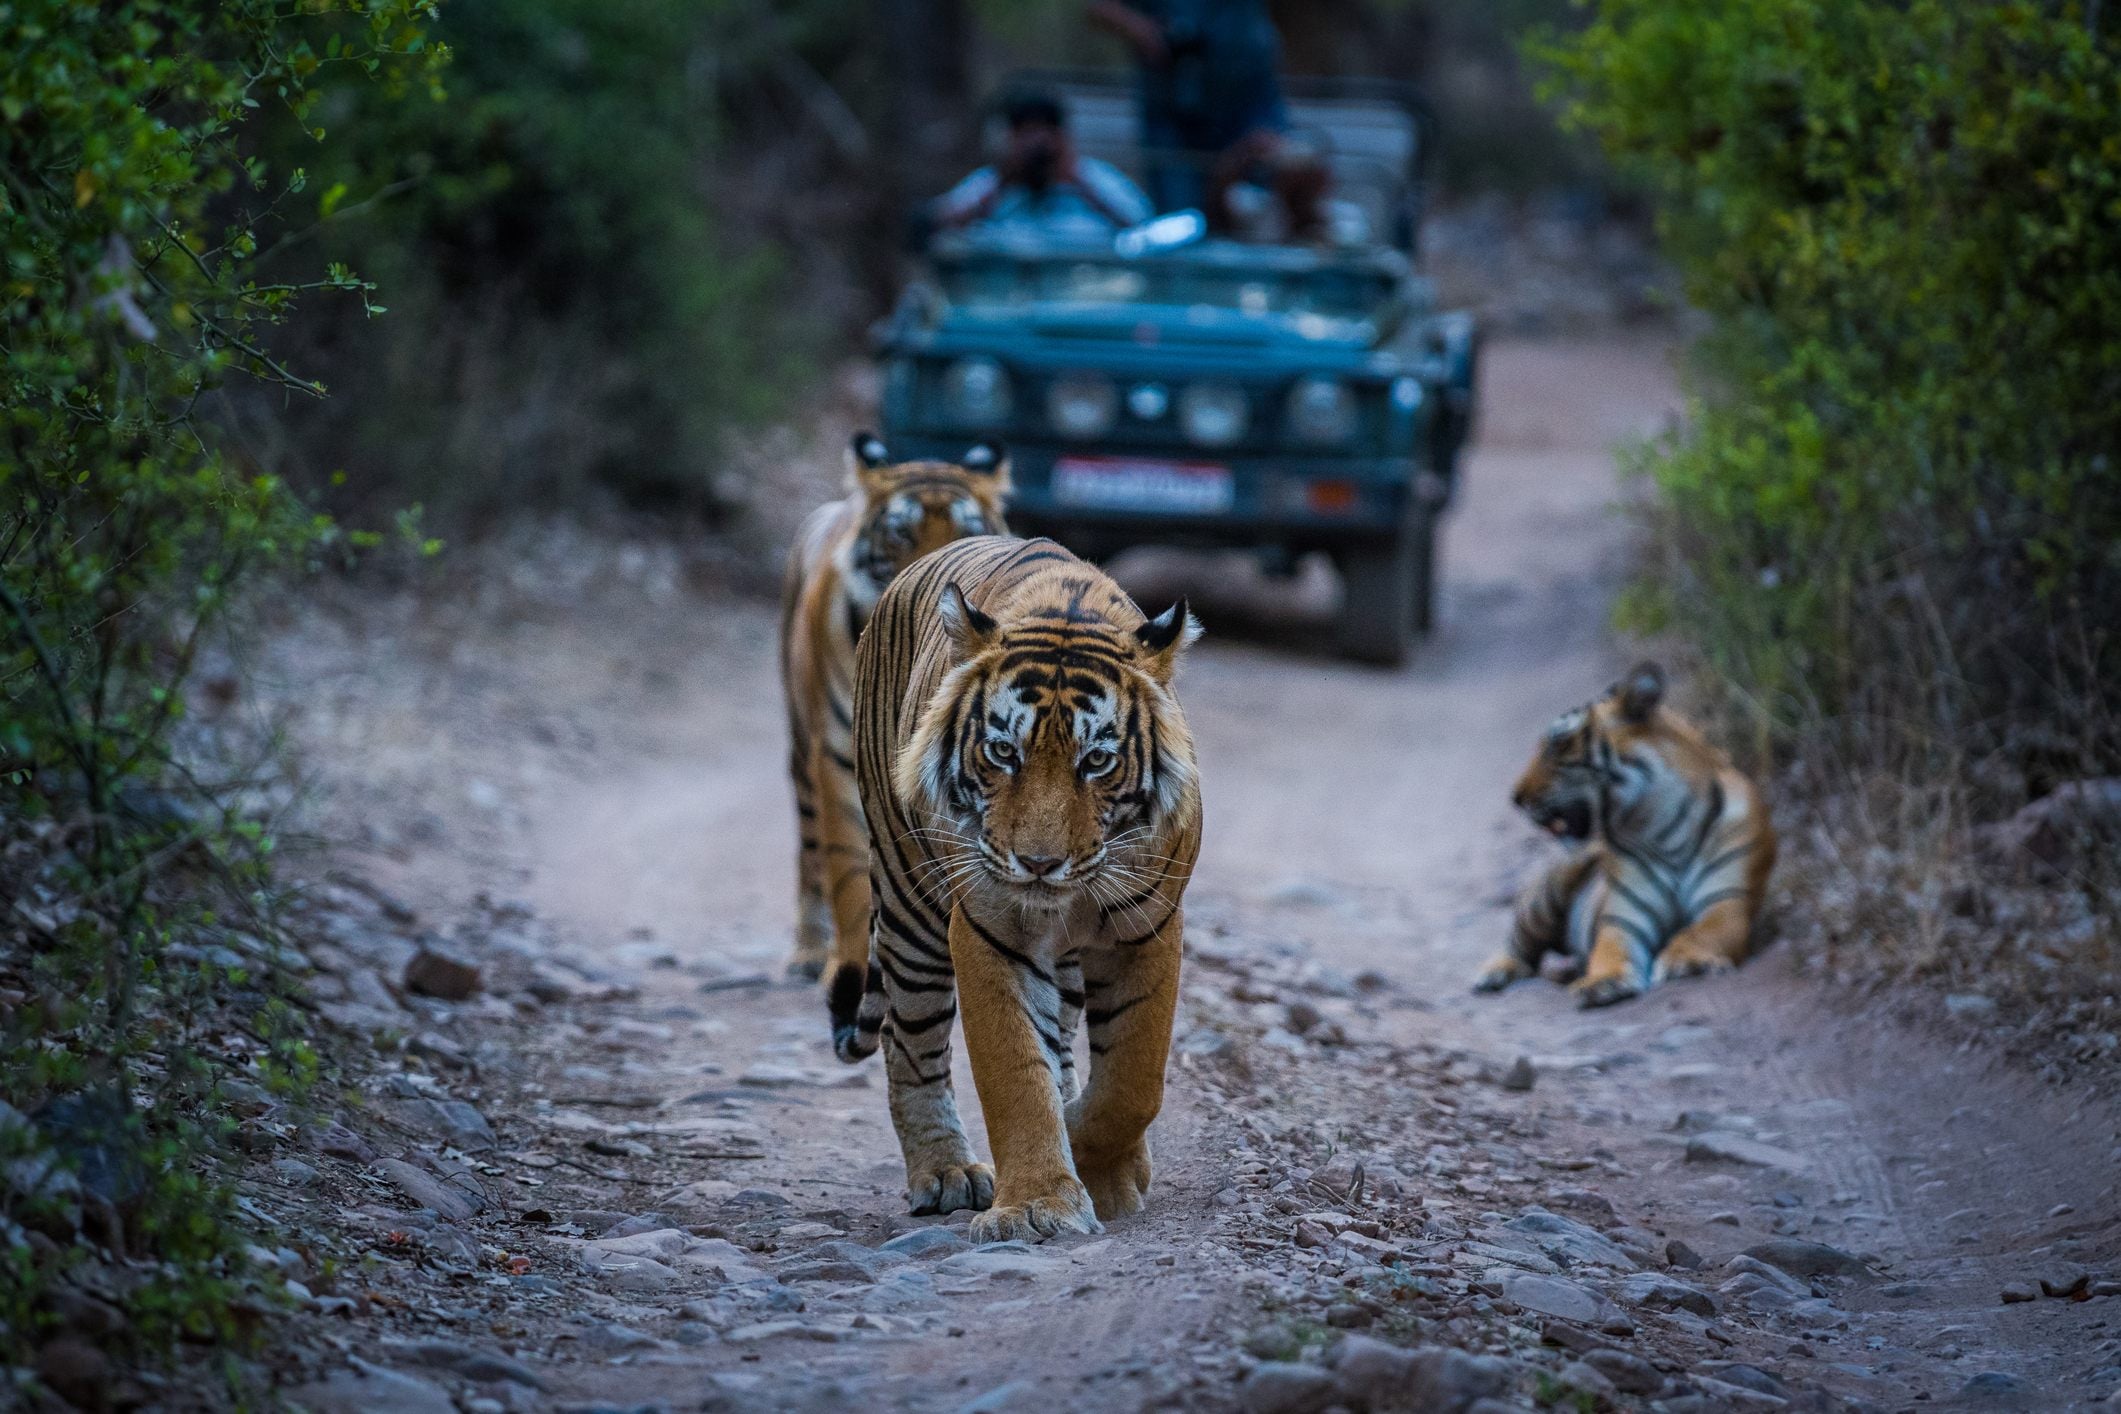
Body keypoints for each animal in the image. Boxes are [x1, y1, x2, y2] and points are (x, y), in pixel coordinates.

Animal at [780, 432, 1010, 981]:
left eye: (968, 530)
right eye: (902, 533)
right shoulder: (837, 756)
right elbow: (846, 872)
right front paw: (847, 963)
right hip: (801, 746)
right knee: (809, 846)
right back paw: (806, 950)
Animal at [837, 535, 1202, 1242]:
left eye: (1098, 761)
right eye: (1004, 752)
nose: (1037, 863)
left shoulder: (1150, 926)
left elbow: (1134, 1079)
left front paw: (1104, 1166)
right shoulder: (989, 929)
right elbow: (1015, 1073)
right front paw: (1039, 1203)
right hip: (908, 902)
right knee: (910, 1042)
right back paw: (945, 1173)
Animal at [1475, 661, 1776, 1008]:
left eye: (1557, 744)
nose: (1516, 798)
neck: (1662, 825)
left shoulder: (1728, 901)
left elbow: (1702, 931)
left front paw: (1685, 961)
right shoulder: (1623, 917)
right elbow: (1609, 949)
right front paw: (1602, 981)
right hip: (1549, 890)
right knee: (1518, 943)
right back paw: (1493, 973)